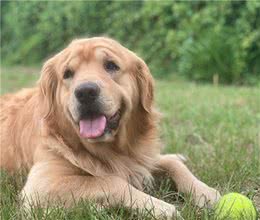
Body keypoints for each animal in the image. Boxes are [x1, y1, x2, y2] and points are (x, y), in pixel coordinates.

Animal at [0, 37, 220, 218]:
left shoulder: (140, 158)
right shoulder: (40, 184)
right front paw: (160, 207)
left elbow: (173, 165)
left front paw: (206, 193)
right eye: (67, 73)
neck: (112, 151)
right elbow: (110, 180)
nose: (86, 92)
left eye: (111, 65)